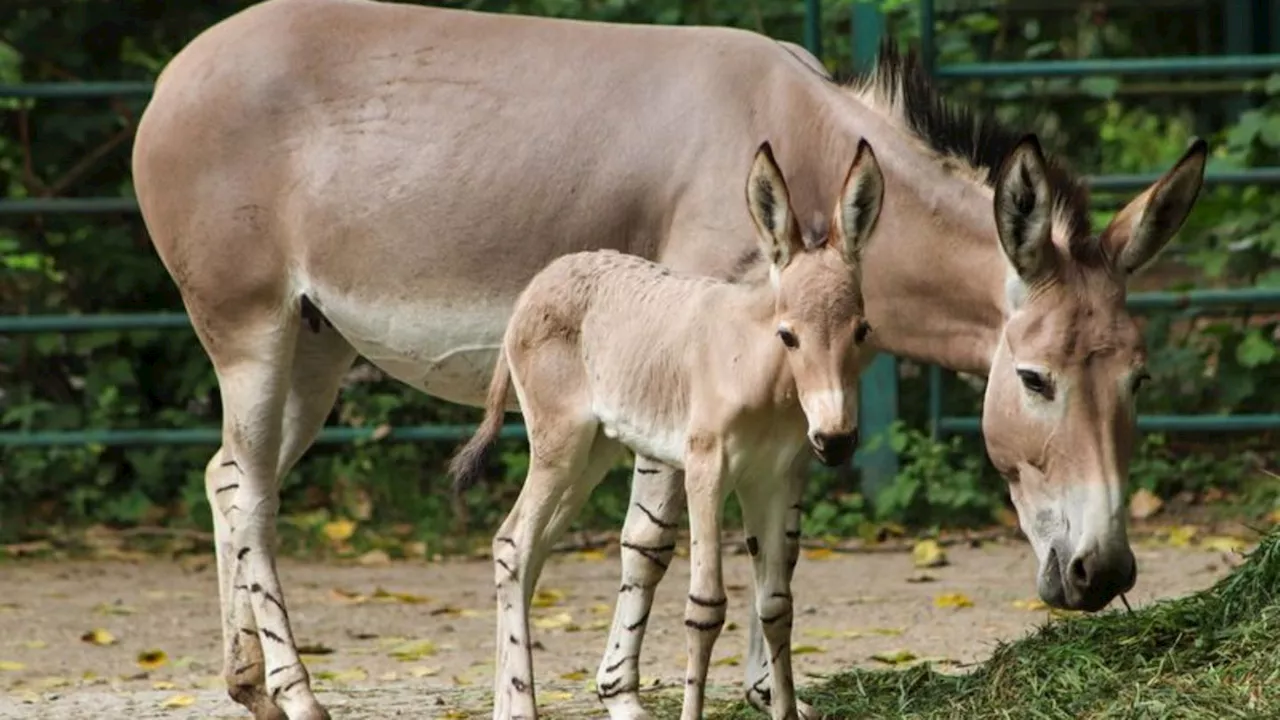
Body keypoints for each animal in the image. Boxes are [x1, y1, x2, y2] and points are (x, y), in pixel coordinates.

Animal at [455, 141, 885, 717]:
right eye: (788, 335)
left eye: (861, 331)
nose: (836, 441)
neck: (757, 370)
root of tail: (542, 281)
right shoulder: (706, 470)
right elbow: (705, 607)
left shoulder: (772, 480)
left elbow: (776, 607)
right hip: (558, 446)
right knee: (515, 543)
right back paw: (523, 705)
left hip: (592, 454)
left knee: (527, 549)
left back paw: (508, 703)